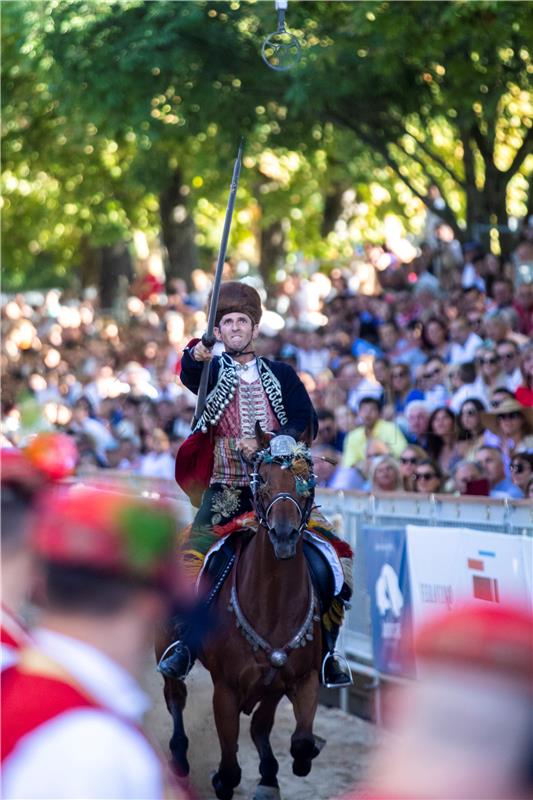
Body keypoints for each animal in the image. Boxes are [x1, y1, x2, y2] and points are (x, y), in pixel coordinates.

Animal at [156, 428, 322, 800]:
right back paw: (178, 757)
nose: (284, 535)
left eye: (305, 481)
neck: (273, 605)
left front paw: (277, 774)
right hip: (163, 645)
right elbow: (230, 767)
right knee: (174, 694)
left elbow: (299, 739)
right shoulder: (226, 689)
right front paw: (222, 779)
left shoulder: (301, 679)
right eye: (263, 481)